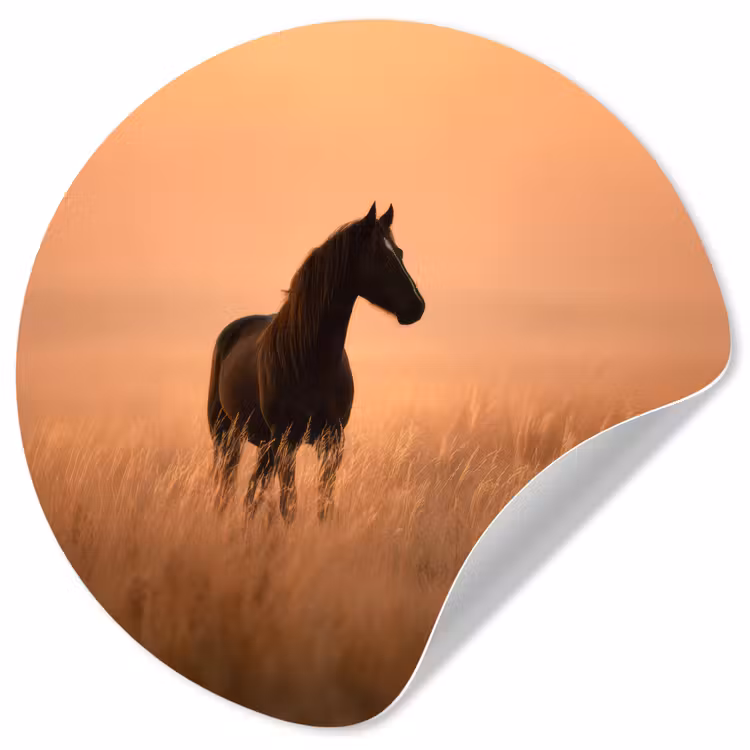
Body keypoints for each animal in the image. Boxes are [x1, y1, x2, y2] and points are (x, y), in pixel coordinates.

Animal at [206, 202, 425, 522]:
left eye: (400, 252)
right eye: (381, 257)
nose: (417, 307)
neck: (311, 360)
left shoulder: (332, 441)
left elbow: (325, 504)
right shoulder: (287, 441)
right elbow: (289, 506)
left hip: (262, 443)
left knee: (250, 493)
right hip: (227, 434)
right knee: (228, 488)